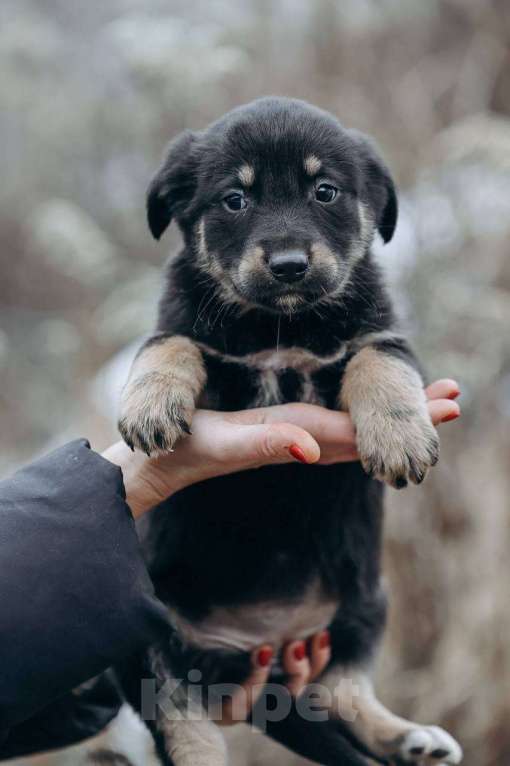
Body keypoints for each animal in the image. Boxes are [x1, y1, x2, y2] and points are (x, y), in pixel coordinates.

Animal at [116, 97, 462, 766]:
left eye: (324, 191)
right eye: (234, 200)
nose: (289, 266)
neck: (281, 325)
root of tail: (263, 648)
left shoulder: (382, 336)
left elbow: (378, 362)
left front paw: (399, 436)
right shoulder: (189, 331)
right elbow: (167, 345)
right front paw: (150, 405)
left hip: (364, 602)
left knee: (341, 689)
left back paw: (410, 739)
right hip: (146, 642)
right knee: (186, 727)